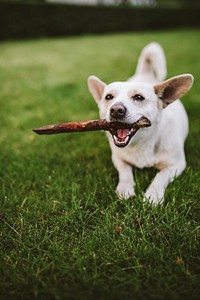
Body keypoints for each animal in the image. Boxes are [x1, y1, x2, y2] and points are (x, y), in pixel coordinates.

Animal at [86, 42, 193, 204]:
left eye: (139, 97)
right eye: (108, 97)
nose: (116, 110)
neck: (142, 143)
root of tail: (146, 74)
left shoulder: (176, 165)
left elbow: (160, 177)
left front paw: (153, 195)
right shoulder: (118, 159)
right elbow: (125, 172)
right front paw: (125, 188)